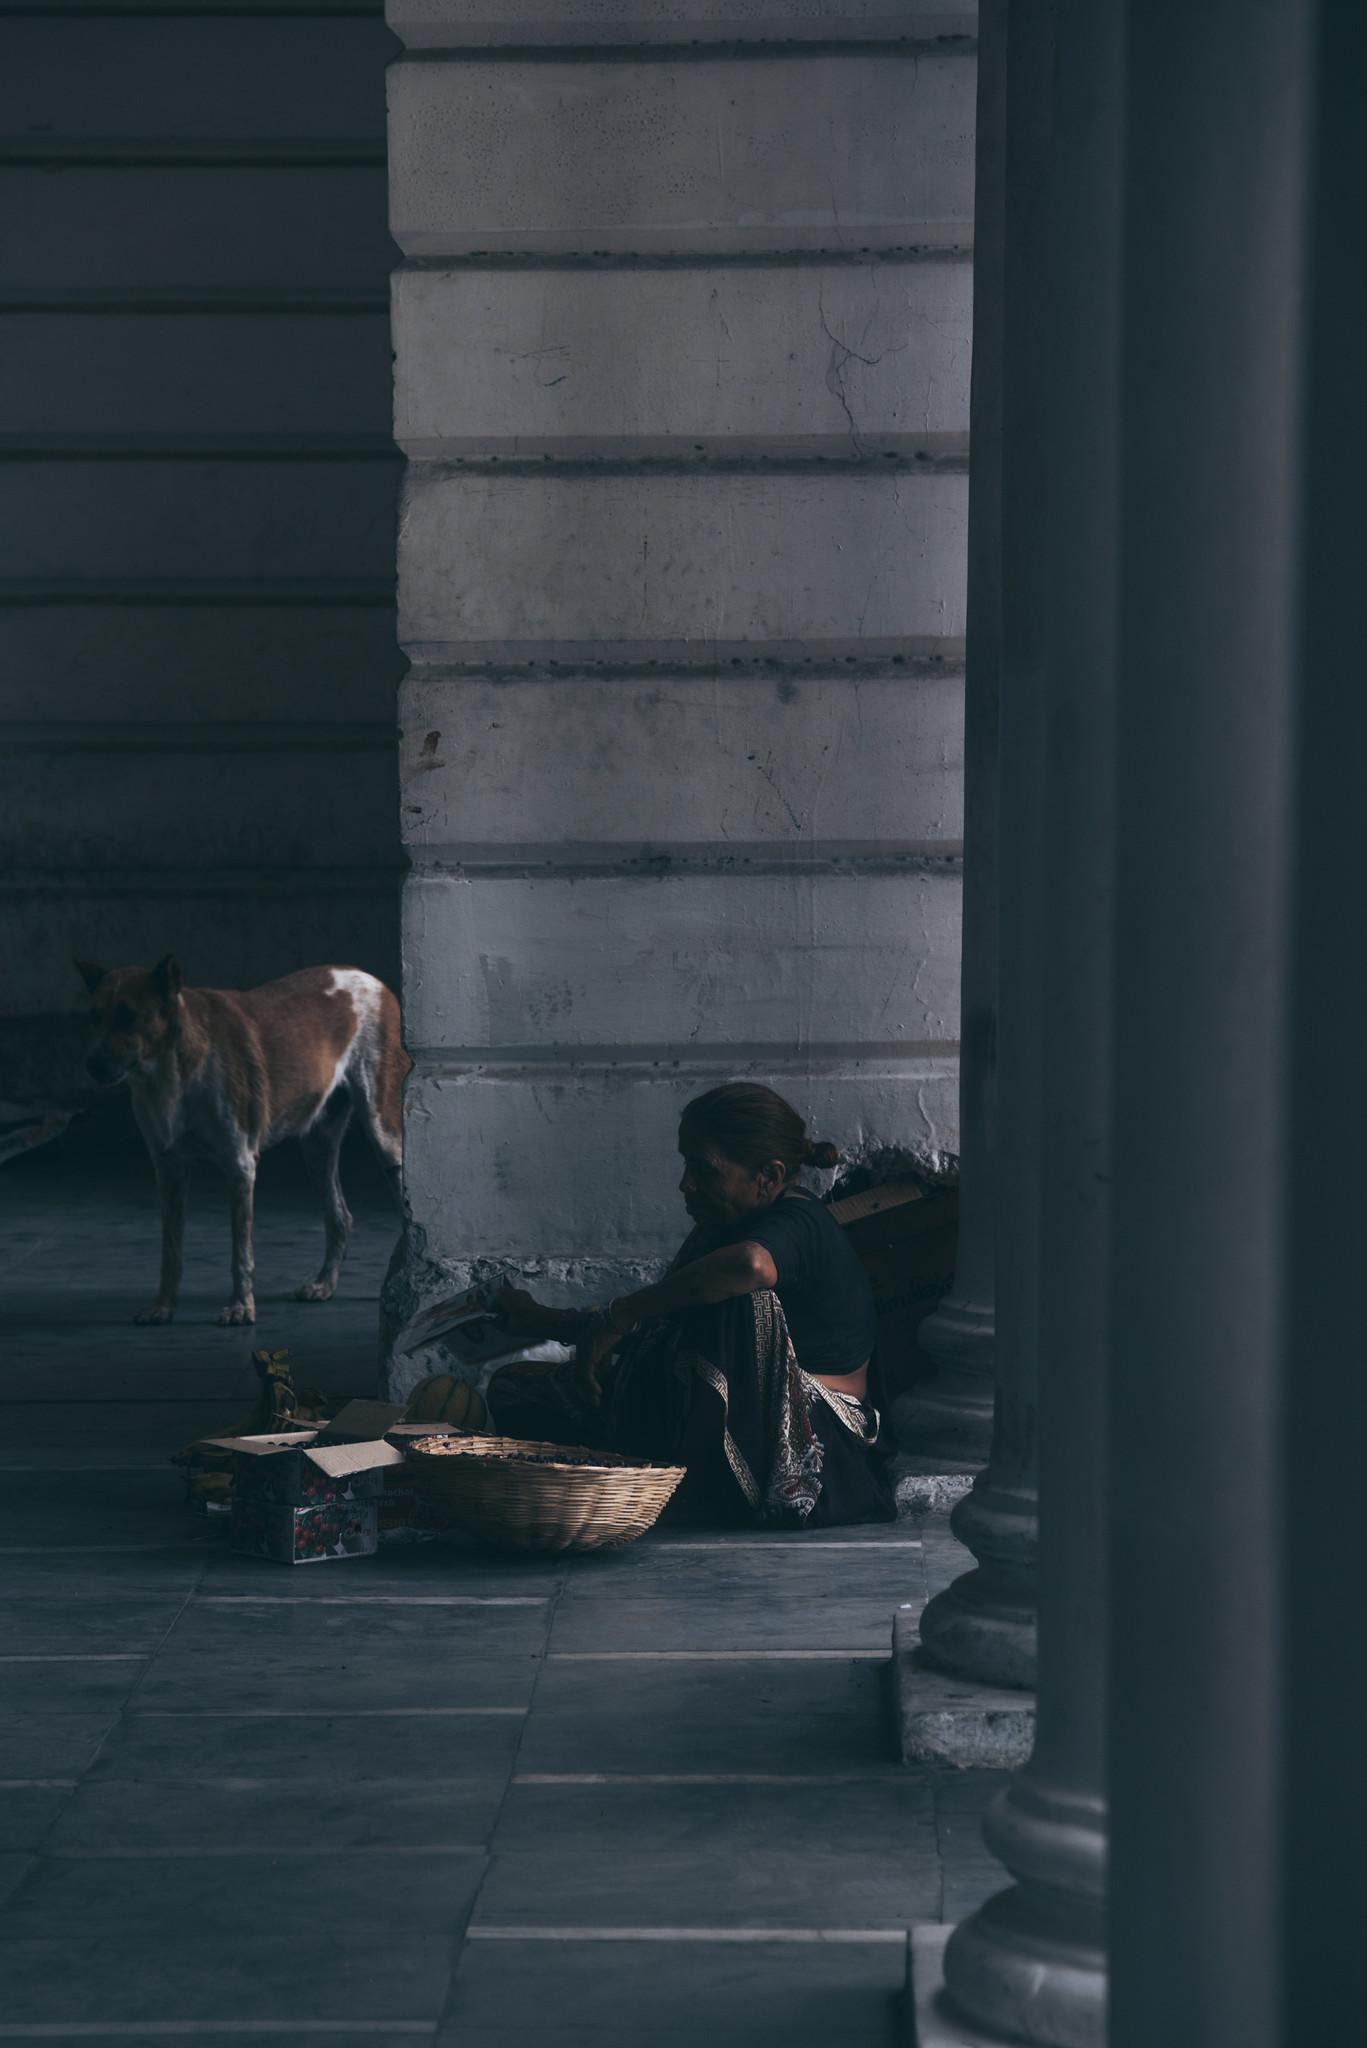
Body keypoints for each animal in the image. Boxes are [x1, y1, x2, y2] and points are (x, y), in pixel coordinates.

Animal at [77, 958, 409, 1327]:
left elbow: (240, 1251)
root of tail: (373, 980)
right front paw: (162, 1306)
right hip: (317, 1147)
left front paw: (240, 1306)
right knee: (340, 1216)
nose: (91, 1066)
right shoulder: (169, 1170)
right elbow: (171, 1250)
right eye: (94, 1016)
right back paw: (324, 1284)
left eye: (128, 1016)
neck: (171, 1070)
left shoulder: (240, 1166)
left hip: (385, 1135)